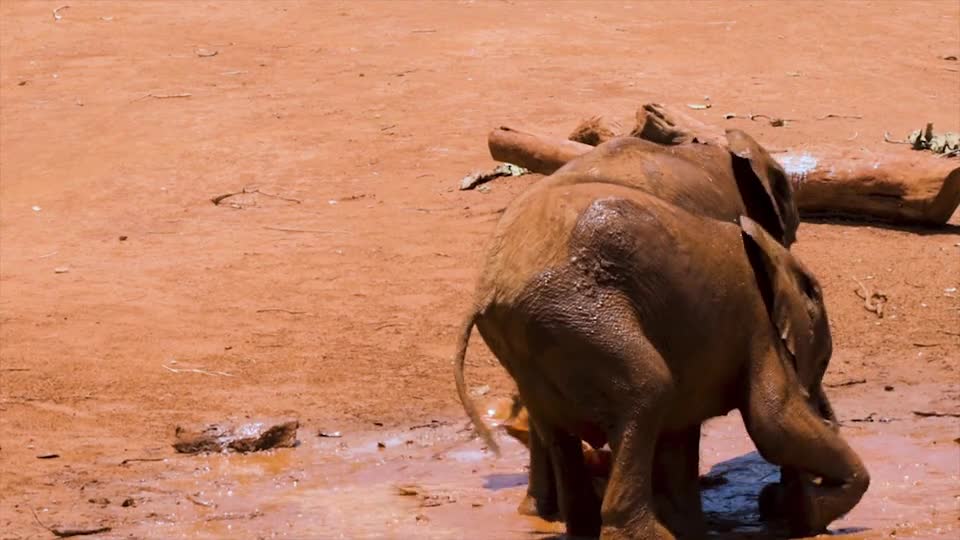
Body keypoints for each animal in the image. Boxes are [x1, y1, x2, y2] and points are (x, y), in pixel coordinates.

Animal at [454, 182, 868, 540]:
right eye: (822, 361)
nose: (774, 499)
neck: (770, 250)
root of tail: (490, 289)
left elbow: (680, 437)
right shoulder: (757, 325)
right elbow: (773, 424)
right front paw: (810, 510)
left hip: (536, 343)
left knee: (556, 428)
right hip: (576, 316)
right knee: (649, 389)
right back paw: (647, 535)